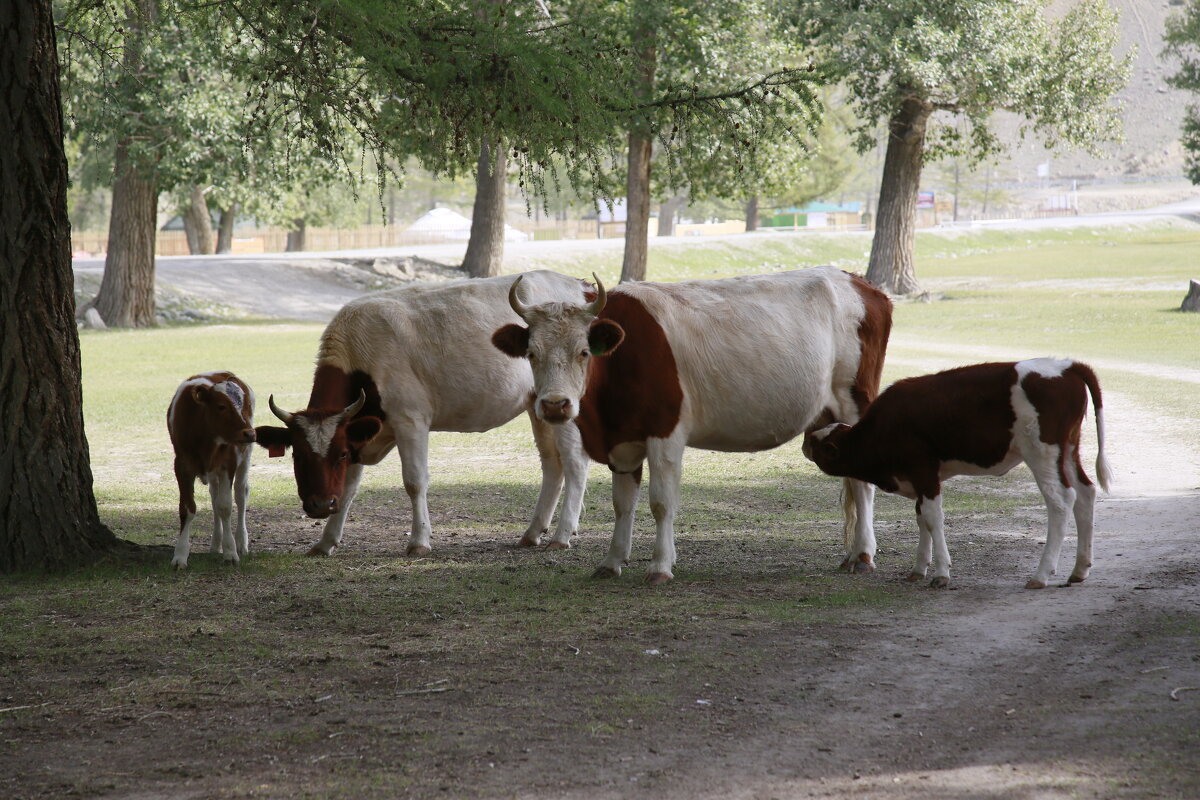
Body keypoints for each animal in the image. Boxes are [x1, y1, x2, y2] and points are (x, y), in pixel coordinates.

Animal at [166, 371, 255, 566]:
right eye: (221, 406)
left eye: (244, 405)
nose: (250, 433)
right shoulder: (181, 465)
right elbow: (187, 507)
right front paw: (180, 554)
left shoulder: (229, 462)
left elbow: (226, 506)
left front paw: (230, 551)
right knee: (214, 497)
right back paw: (215, 543)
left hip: (245, 456)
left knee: (240, 494)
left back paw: (241, 542)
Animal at [255, 268, 592, 556]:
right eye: (298, 455)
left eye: (338, 454)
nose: (320, 505)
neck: (362, 360)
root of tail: (580, 286)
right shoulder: (357, 431)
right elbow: (349, 488)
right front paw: (326, 541)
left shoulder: (410, 421)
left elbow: (414, 481)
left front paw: (419, 541)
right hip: (539, 407)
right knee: (552, 464)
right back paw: (532, 532)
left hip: (562, 406)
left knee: (575, 462)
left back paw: (562, 535)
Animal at [487, 266, 892, 585]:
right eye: (531, 353)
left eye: (583, 352)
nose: (555, 405)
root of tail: (858, 281)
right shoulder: (623, 442)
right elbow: (623, 504)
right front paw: (612, 561)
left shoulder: (665, 432)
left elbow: (661, 503)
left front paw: (660, 567)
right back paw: (851, 554)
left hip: (855, 404)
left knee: (862, 482)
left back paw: (863, 556)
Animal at [801, 359, 1108, 592]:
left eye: (824, 447)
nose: (806, 442)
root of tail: (1066, 365)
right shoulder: (922, 478)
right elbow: (921, 518)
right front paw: (918, 569)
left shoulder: (924, 470)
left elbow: (933, 518)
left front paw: (941, 573)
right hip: (1068, 451)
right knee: (1085, 493)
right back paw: (1080, 569)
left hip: (1042, 453)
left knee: (1061, 501)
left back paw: (1041, 575)